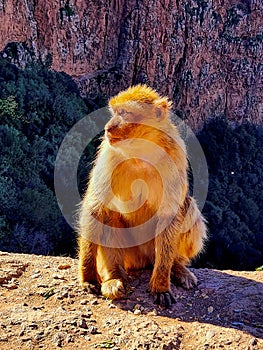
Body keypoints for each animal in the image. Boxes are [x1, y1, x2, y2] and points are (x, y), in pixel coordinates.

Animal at [78, 84, 208, 306]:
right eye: (115, 112)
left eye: (124, 113)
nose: (108, 127)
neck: (140, 151)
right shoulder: (109, 155)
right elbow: (96, 209)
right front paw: (88, 276)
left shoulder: (175, 156)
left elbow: (170, 214)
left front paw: (161, 285)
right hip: (132, 256)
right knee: (110, 215)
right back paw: (114, 277)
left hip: (151, 251)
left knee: (188, 206)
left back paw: (176, 267)